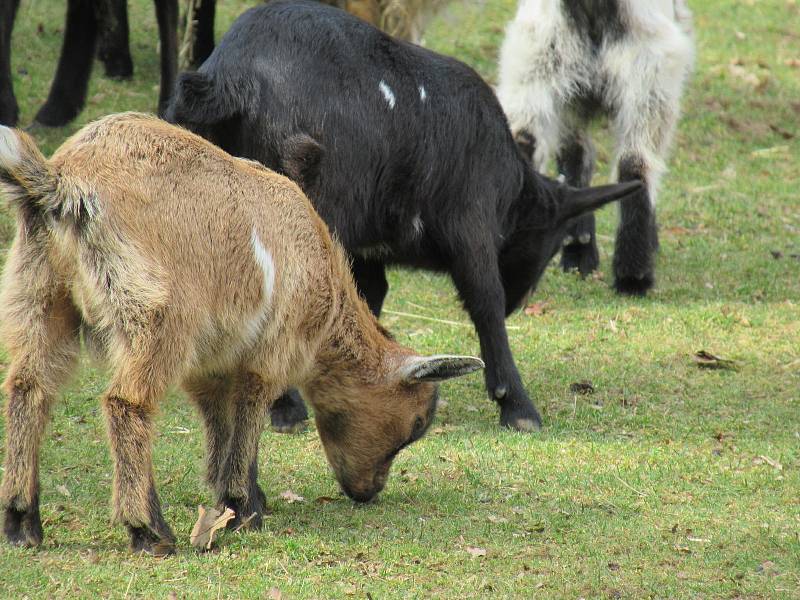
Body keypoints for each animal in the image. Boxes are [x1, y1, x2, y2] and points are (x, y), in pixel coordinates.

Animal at [0, 112, 482, 552]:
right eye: (416, 424)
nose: (368, 491)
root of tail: (63, 184)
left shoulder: (211, 363)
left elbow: (219, 420)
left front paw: (236, 500)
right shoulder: (272, 349)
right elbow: (251, 413)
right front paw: (243, 508)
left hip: (39, 294)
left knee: (29, 388)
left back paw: (23, 521)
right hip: (152, 314)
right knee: (126, 403)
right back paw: (149, 531)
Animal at [166, 3, 640, 436]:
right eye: (548, 243)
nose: (518, 302)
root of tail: (228, 79)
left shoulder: (365, 246)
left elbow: (369, 295)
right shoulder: (471, 225)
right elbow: (484, 300)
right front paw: (517, 405)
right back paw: (285, 408)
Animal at [496, 0, 692, 296]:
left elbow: (574, 157)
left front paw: (577, 247)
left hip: (535, 63)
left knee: (527, 144)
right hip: (648, 76)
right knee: (636, 162)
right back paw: (634, 274)